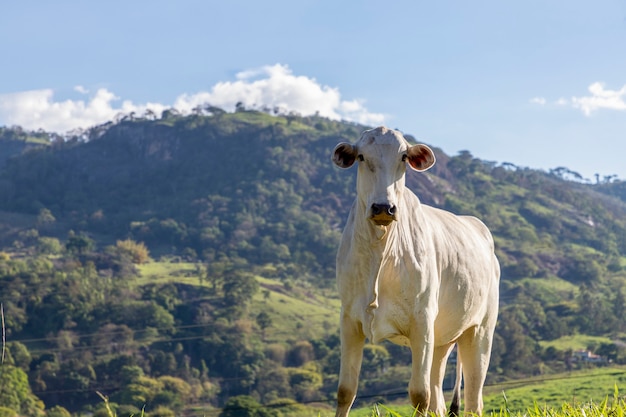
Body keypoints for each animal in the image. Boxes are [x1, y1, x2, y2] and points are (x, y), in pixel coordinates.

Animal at [332, 127, 498, 416]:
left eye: (403, 158)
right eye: (362, 157)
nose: (383, 207)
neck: (381, 249)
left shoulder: (421, 322)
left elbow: (420, 395)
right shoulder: (350, 319)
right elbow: (346, 391)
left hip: (479, 332)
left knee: (472, 399)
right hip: (441, 340)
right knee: (439, 399)